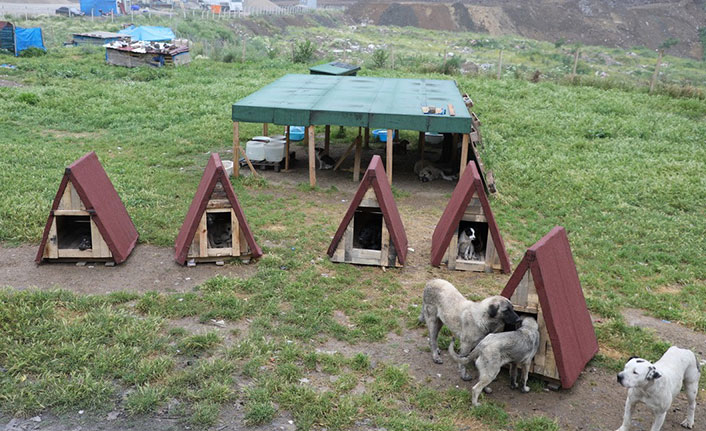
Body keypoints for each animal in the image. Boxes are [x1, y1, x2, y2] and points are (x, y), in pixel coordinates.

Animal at [500, 228, 592, 390]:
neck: (528, 328)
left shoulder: (517, 363)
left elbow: (514, 374)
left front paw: (516, 384)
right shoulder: (525, 362)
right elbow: (523, 377)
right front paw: (523, 387)